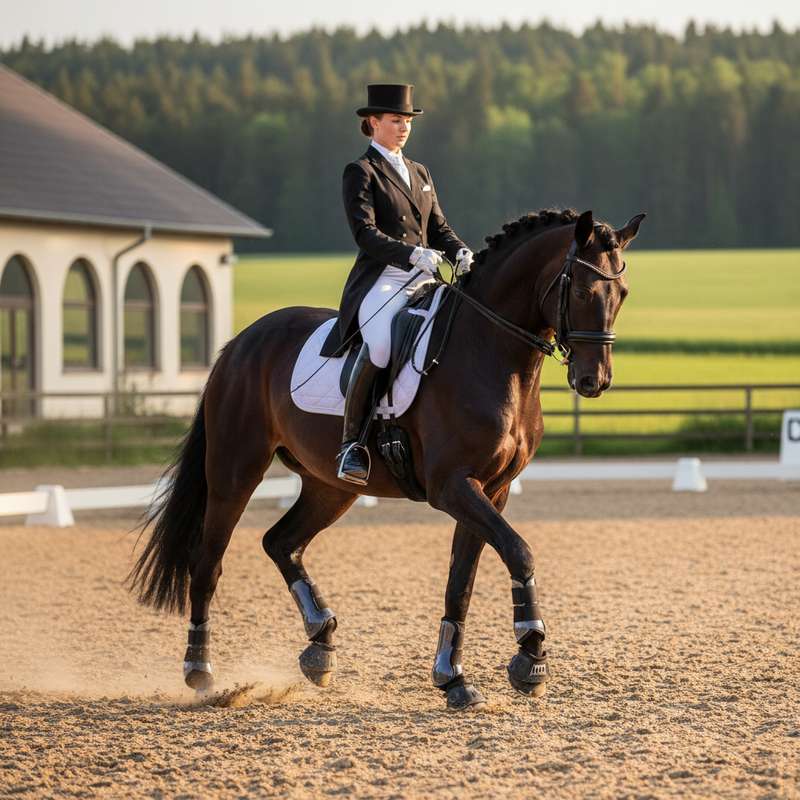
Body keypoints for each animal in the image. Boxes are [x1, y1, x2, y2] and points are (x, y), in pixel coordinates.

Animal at [128, 207, 645, 710]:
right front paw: (531, 655)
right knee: (207, 564)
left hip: (330, 486)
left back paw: (320, 645)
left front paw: (453, 678)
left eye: (621, 292)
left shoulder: (491, 492)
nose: (594, 381)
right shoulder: (453, 486)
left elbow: (462, 582)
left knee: (281, 542)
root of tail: (239, 344)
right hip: (235, 471)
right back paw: (200, 671)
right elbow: (520, 551)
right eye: (581, 289)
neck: (490, 353)